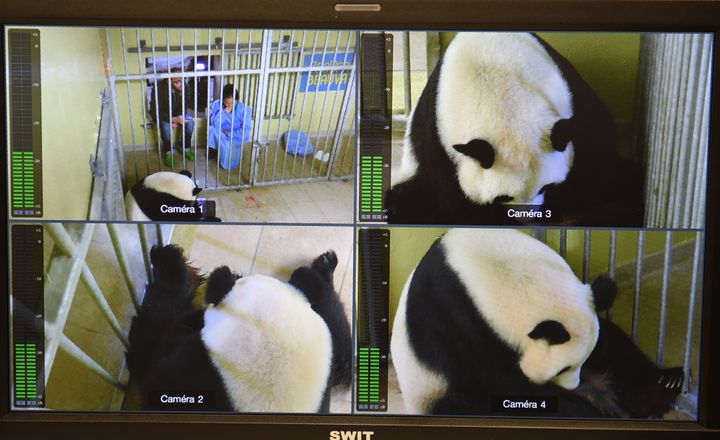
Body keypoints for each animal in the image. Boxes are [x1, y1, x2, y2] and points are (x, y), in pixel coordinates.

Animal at [126, 244, 352, 412]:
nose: (237, 273)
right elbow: (343, 357)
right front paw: (323, 268)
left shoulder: (189, 373)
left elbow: (146, 352)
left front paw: (170, 265)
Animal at [386, 31, 644, 227]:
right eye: (504, 196)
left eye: (546, 186)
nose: (528, 219)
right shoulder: (438, 137)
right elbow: (454, 197)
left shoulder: (573, 99)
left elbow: (595, 163)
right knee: (402, 202)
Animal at [390, 229, 684, 418]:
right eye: (562, 368)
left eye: (583, 360)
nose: (575, 386)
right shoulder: (454, 316)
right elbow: (501, 381)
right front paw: (588, 406)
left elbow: (609, 344)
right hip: (429, 391)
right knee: (462, 405)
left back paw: (662, 386)